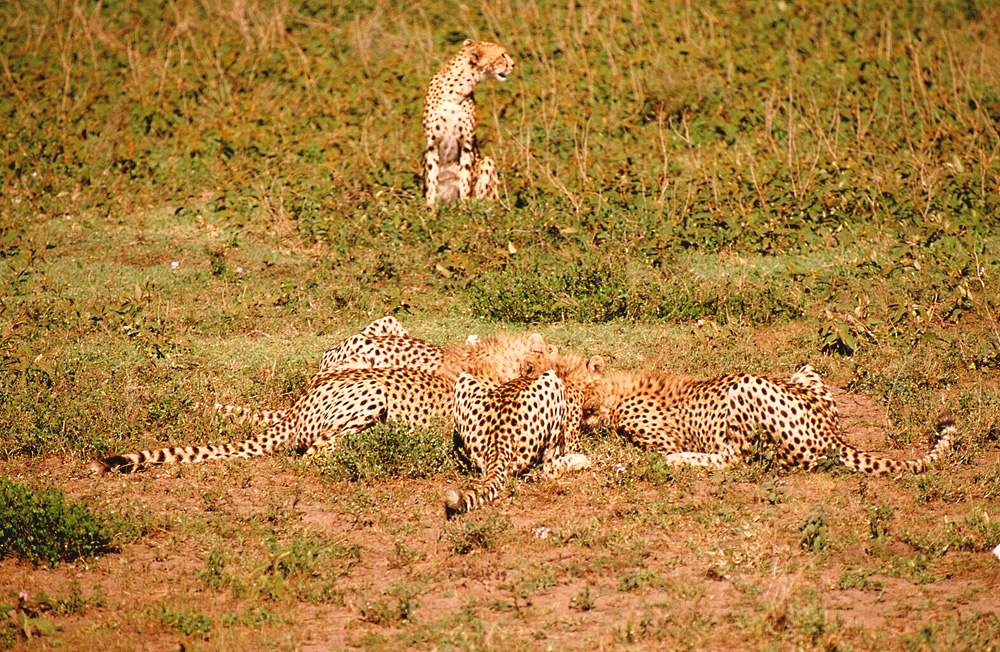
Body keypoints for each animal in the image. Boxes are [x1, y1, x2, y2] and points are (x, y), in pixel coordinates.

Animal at [424, 38, 516, 206]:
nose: (513, 65)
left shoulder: (466, 144)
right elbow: (432, 182)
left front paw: (465, 209)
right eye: (502, 55)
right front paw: (430, 210)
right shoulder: (432, 144)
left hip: (487, 163)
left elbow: (465, 180)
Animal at [444, 354, 600, 516]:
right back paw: (582, 461)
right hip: (552, 381)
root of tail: (498, 442)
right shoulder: (571, 441)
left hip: (463, 379)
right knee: (549, 469)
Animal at [584, 364, 956, 476]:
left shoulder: (659, 437)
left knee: (736, 459)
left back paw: (681, 459)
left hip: (745, 386)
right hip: (806, 370)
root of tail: (830, 434)